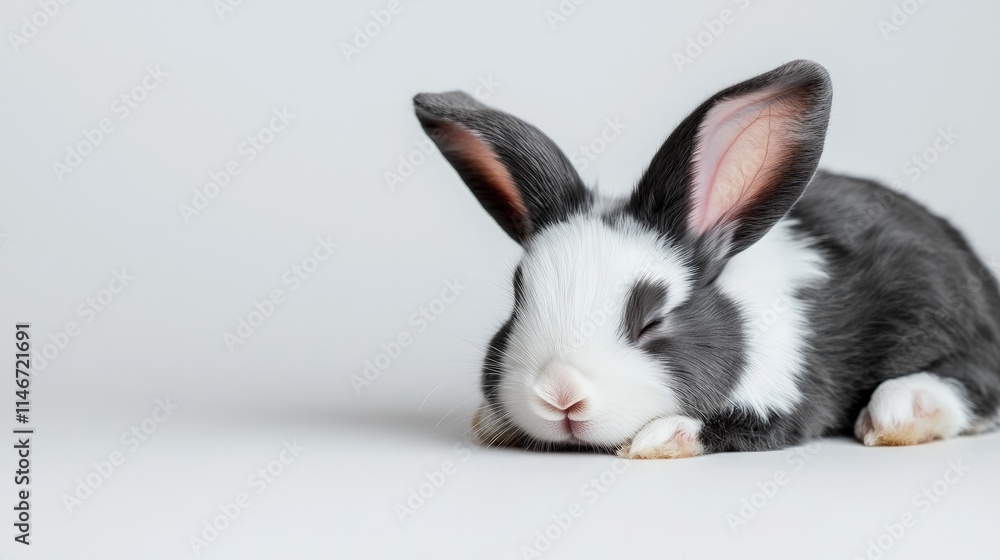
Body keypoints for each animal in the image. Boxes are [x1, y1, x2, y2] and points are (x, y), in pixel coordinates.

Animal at [412, 60, 1000, 459]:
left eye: (653, 319)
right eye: (518, 299)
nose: (560, 397)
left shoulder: (789, 393)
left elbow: (733, 426)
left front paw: (656, 439)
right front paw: (490, 422)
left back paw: (903, 411)